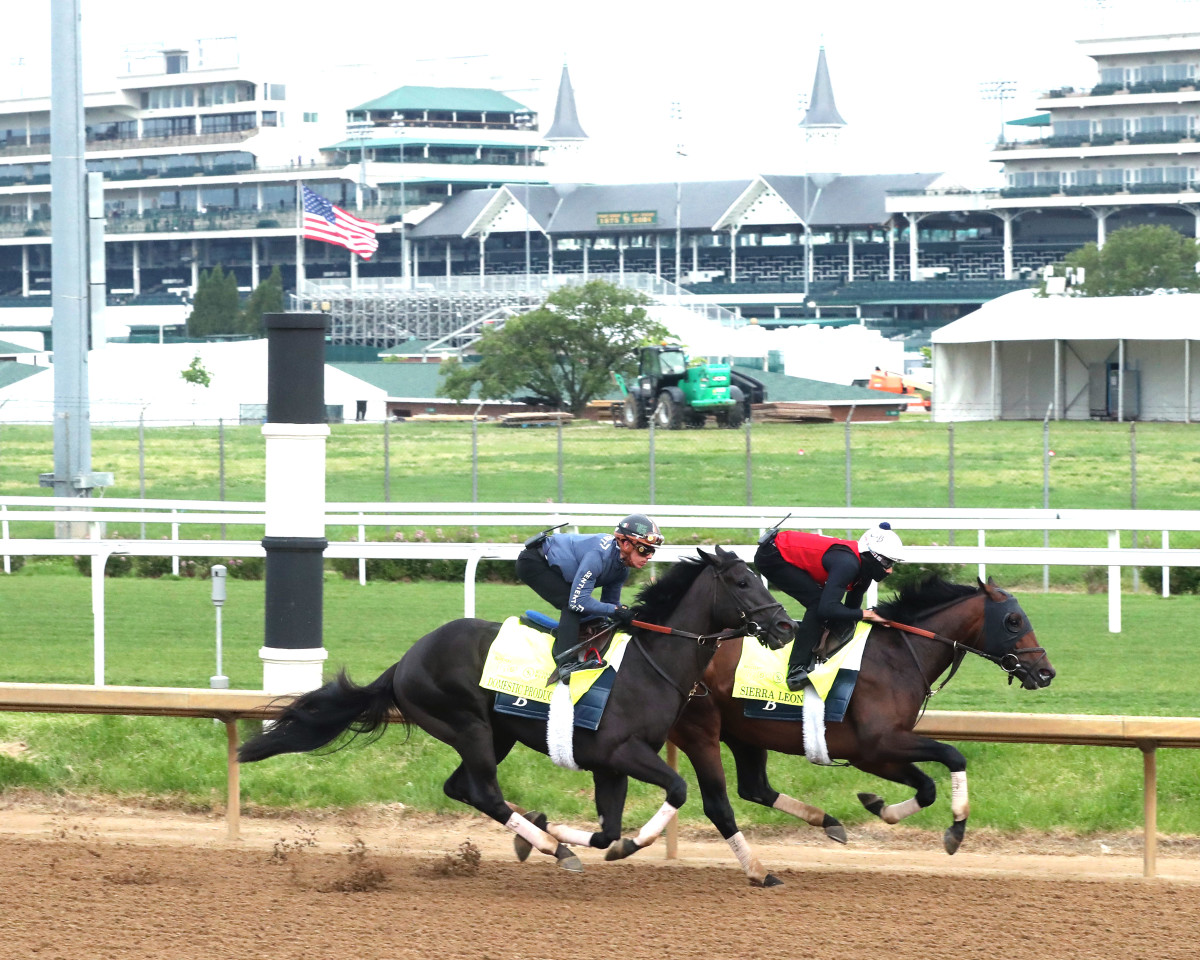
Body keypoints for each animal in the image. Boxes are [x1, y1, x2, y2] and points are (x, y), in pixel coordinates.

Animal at [662, 578, 1056, 883]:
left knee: (755, 787)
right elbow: (953, 755)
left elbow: (927, 788)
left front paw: (878, 805)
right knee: (719, 804)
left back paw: (828, 822)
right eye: (1014, 620)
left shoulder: (873, 754)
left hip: (745, 731)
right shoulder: (880, 743)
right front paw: (956, 830)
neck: (898, 656)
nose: (1045, 671)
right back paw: (758, 870)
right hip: (700, 730)